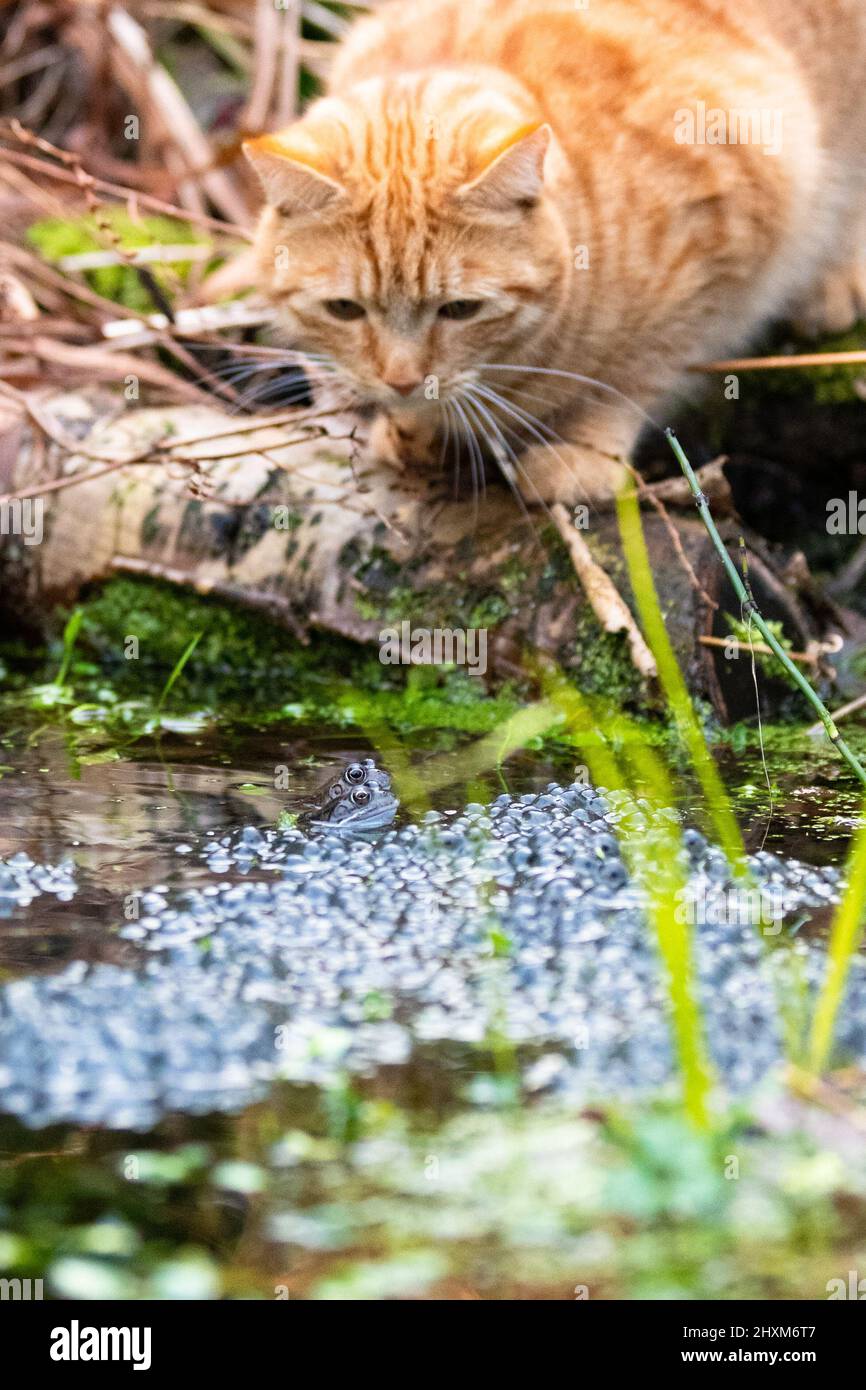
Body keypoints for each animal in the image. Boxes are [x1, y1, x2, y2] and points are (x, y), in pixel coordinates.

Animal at [244, 0, 866, 511]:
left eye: (460, 310)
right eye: (344, 310)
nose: (401, 382)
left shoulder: (729, 238)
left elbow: (639, 372)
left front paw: (584, 451)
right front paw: (411, 427)